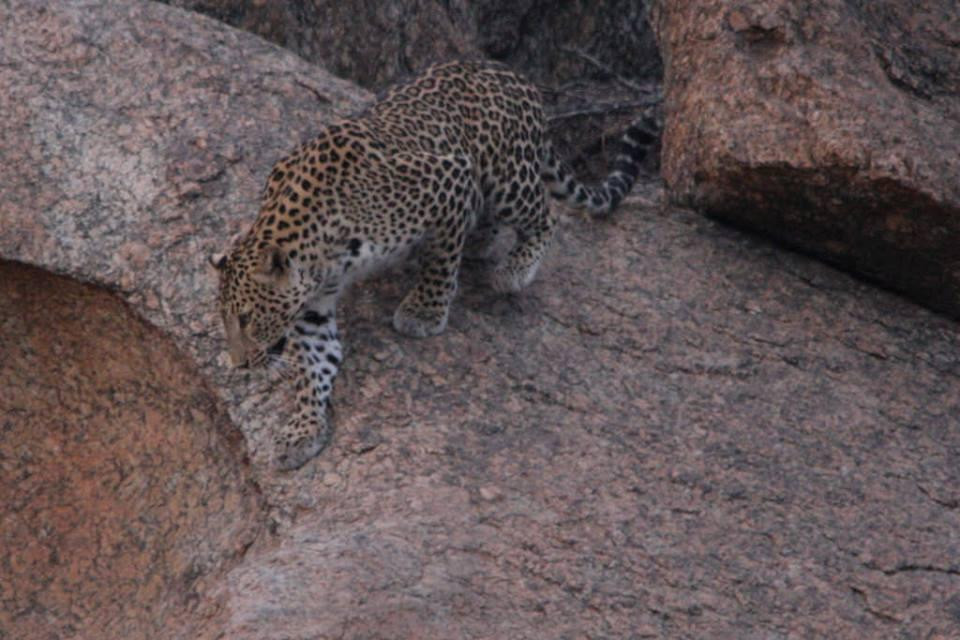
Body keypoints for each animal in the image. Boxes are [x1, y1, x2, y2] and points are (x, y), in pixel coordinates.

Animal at [211, 60, 657, 470]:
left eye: (248, 318)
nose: (239, 365)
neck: (316, 245)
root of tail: (512, 73)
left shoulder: (450, 178)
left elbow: (440, 260)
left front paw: (423, 311)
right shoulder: (313, 309)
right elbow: (312, 368)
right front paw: (302, 430)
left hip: (506, 176)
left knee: (545, 214)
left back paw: (513, 269)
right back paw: (481, 239)